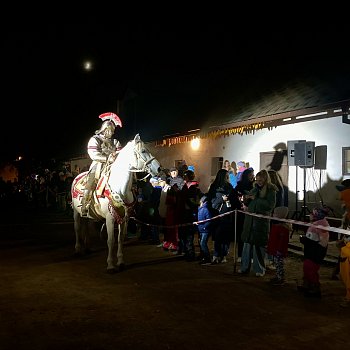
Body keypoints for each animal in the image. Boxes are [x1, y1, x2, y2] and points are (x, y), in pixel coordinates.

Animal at [71, 133, 161, 272]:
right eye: (143, 151)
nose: (159, 168)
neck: (120, 188)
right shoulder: (110, 218)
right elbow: (111, 240)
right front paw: (110, 265)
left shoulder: (125, 217)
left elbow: (120, 239)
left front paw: (121, 261)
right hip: (76, 212)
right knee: (77, 228)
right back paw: (78, 249)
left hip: (87, 215)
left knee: (85, 226)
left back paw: (87, 247)